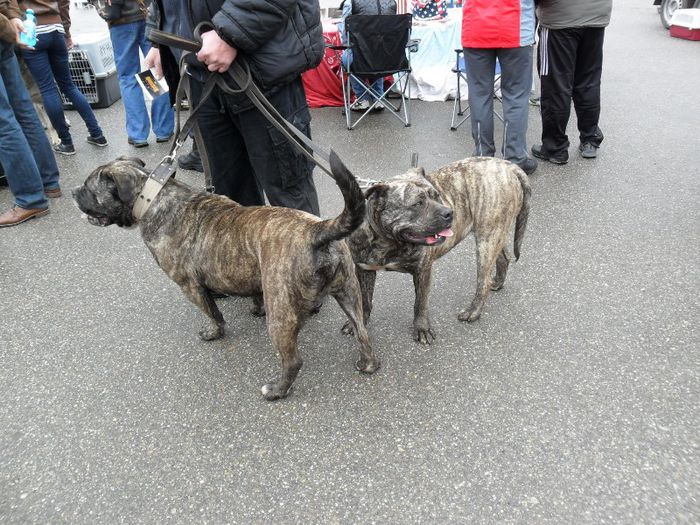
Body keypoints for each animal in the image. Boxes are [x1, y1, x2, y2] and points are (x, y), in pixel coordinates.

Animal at [74, 154, 380, 400]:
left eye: (89, 188)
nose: (75, 191)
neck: (153, 198)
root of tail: (317, 231)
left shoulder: (190, 286)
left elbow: (213, 313)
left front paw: (214, 332)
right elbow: (251, 294)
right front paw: (254, 308)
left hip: (280, 317)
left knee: (293, 361)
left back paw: (277, 390)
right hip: (350, 294)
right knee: (363, 332)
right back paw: (367, 364)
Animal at [344, 156, 532, 344]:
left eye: (437, 196)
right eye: (418, 204)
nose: (450, 213)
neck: (388, 242)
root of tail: (508, 166)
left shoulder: (423, 271)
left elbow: (420, 303)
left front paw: (422, 328)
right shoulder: (364, 270)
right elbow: (364, 300)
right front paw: (359, 323)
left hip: (487, 240)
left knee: (483, 281)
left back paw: (473, 311)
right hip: (494, 235)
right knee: (504, 258)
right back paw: (497, 282)